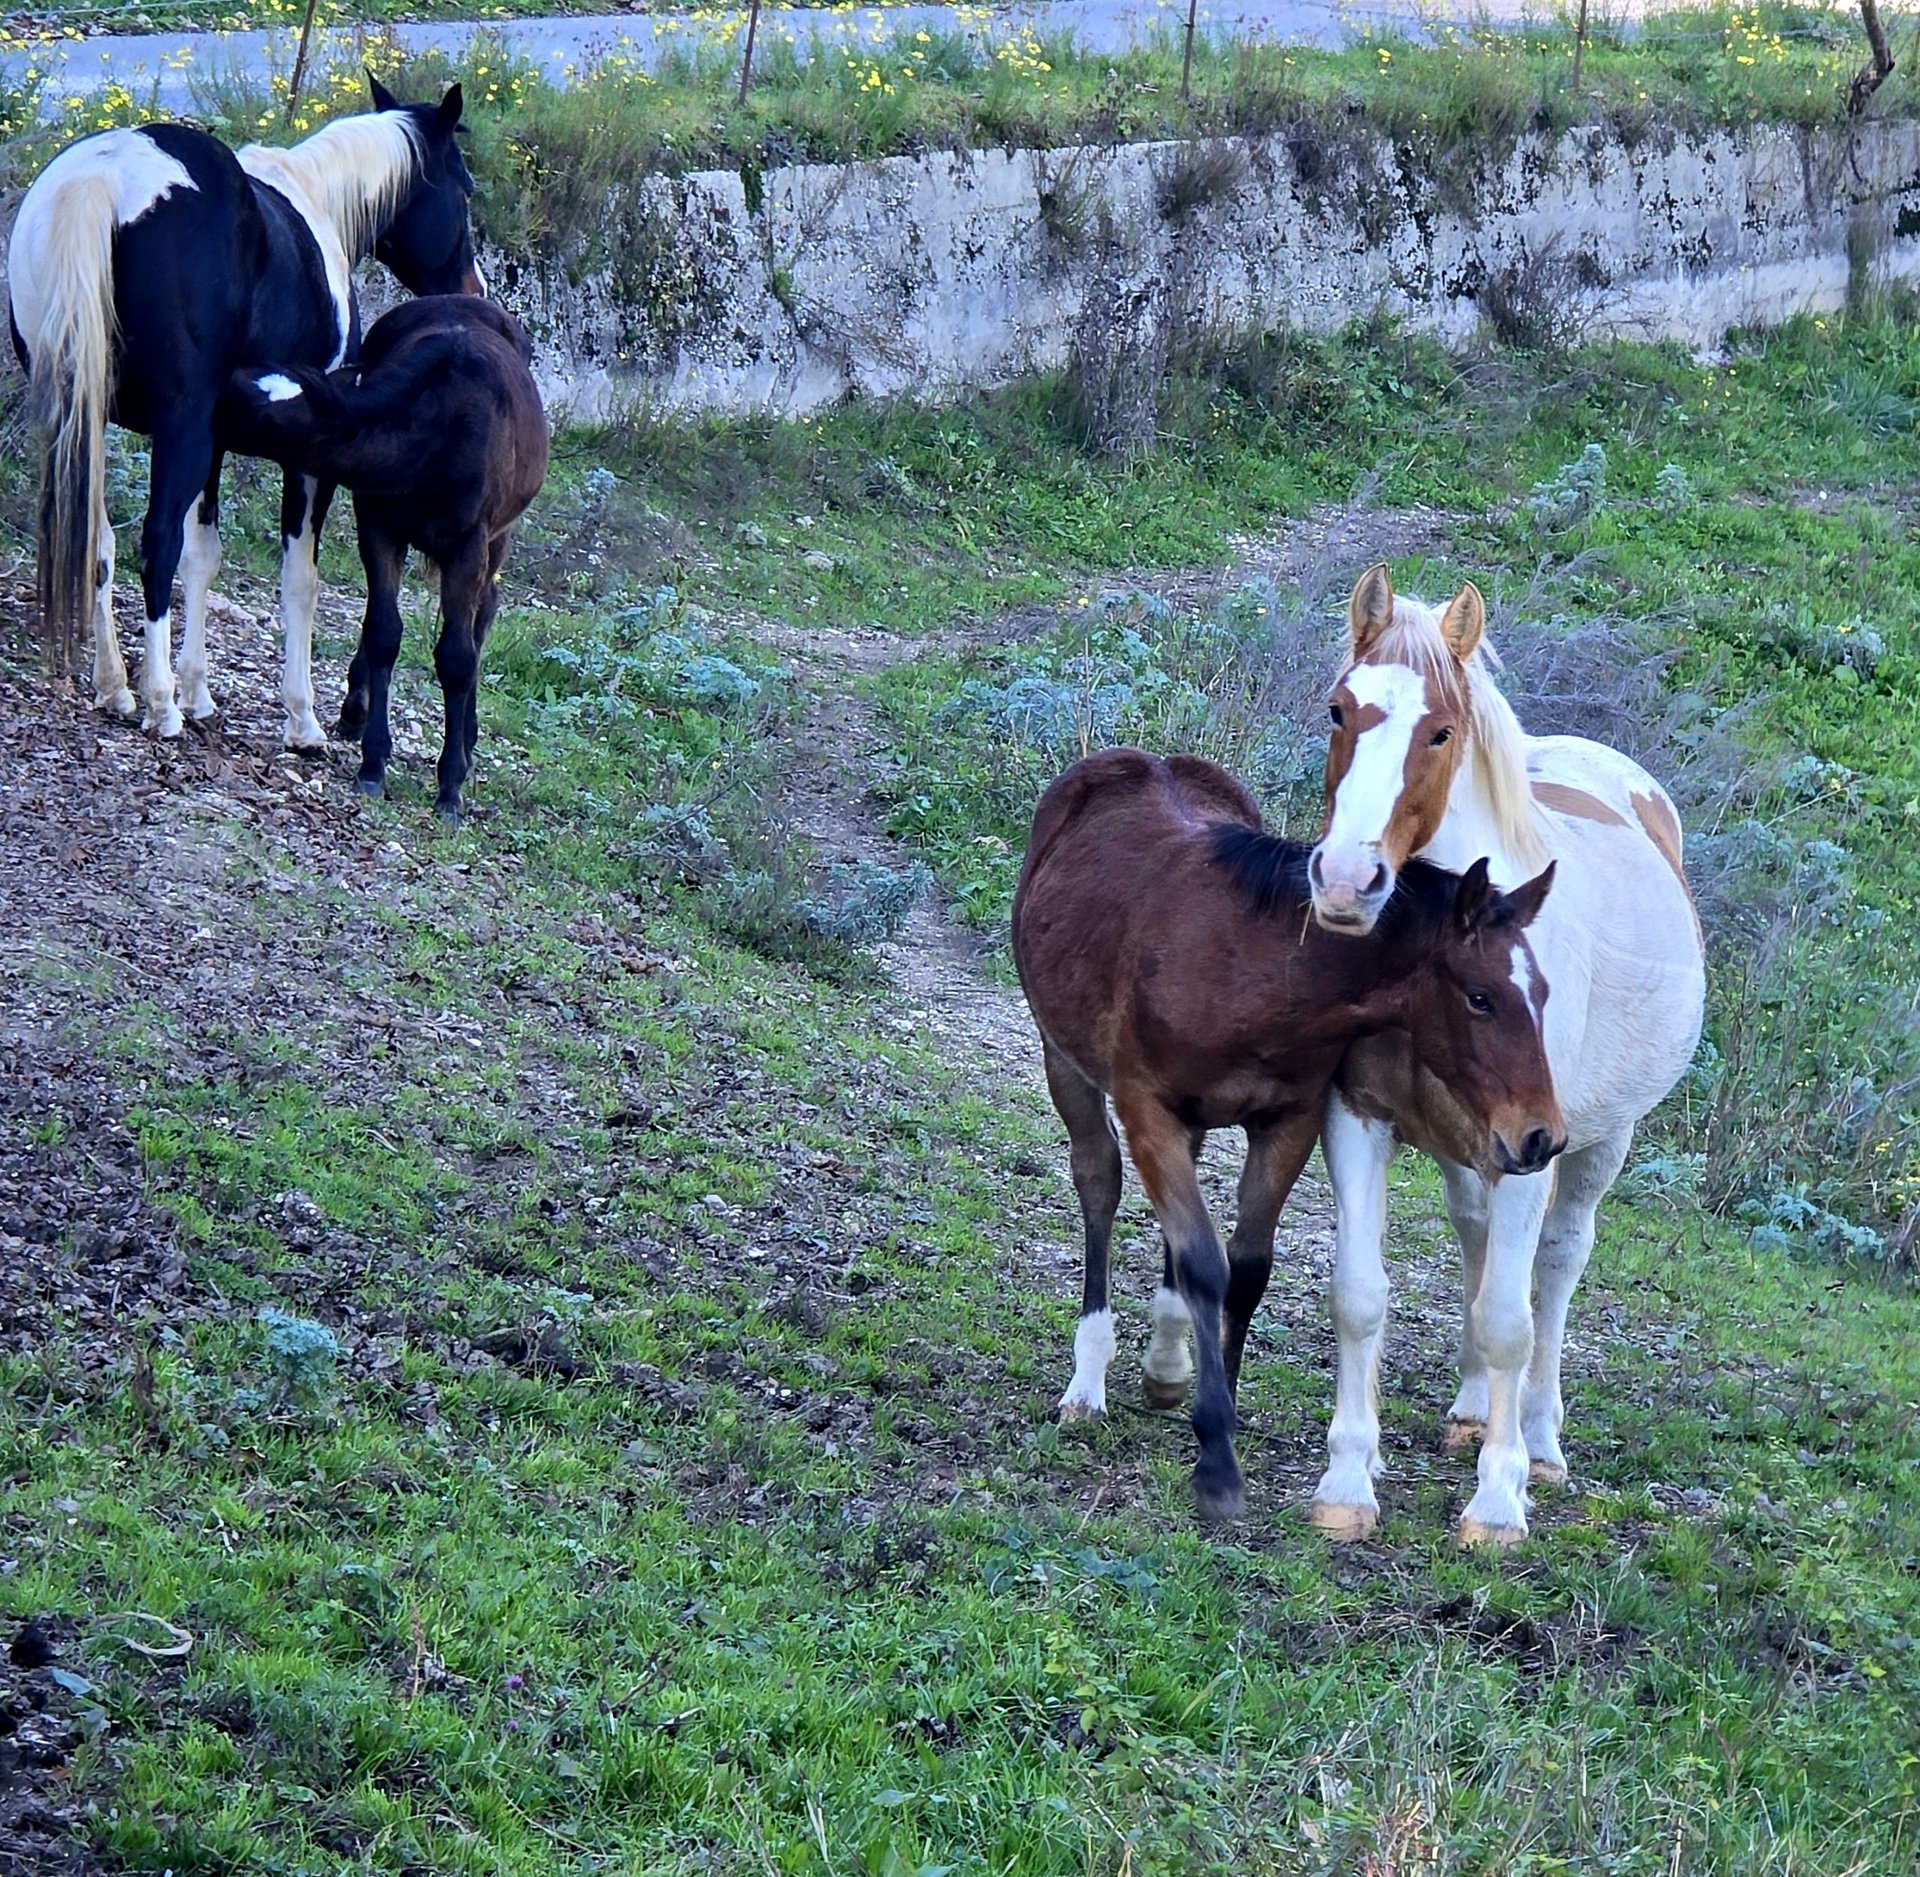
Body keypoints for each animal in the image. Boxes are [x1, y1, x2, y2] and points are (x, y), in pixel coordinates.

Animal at [7, 74, 483, 747]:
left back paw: (116, 688)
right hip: (176, 428)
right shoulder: (304, 456)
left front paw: (200, 691)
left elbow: (203, 557)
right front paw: (300, 720)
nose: (473, 290)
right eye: (463, 188)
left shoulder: (214, 440)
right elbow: (299, 579)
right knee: (153, 542)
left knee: (99, 541)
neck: (315, 201)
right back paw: (158, 705)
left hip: (88, 419)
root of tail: (103, 178)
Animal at [218, 296, 549, 820]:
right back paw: (357, 709)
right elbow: (383, 631)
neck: (435, 431)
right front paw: (373, 762)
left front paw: (450, 785)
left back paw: (468, 735)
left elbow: (457, 656)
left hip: (501, 534)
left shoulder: (469, 542)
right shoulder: (377, 523)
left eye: (241, 405)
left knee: (486, 610)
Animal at [1013, 746, 1564, 1525]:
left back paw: (1166, 1364)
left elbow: (1245, 1269)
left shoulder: (1288, 1121)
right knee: (1099, 1180)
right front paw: (1216, 1460)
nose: (1542, 1136)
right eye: (1480, 997)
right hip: (1064, 1057)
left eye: (1542, 994)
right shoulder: (1148, 1108)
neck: (1253, 974)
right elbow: (1205, 1261)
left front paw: (1215, 1411)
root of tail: (1143, 758)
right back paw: (1086, 1382)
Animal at [1306, 566, 1706, 1546]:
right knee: (1480, 1239)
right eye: (1340, 709)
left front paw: (1498, 1500)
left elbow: (1510, 1319)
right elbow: (1360, 1294)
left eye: (1441, 730)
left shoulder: (1533, 1144)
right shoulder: (1358, 1118)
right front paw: (1348, 1482)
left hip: (1600, 1142)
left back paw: (1541, 1442)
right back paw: (1466, 1411)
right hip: (1471, 1149)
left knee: (1554, 1266)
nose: (1346, 881)